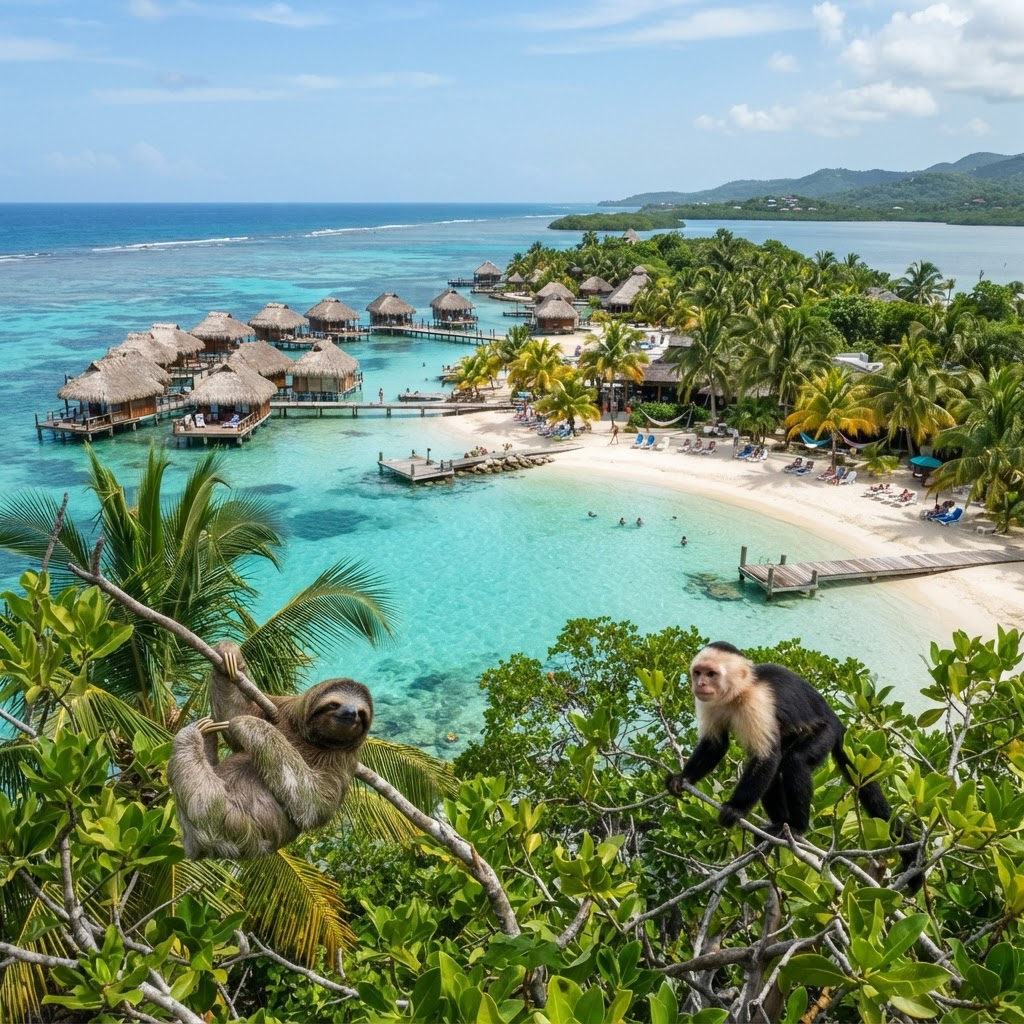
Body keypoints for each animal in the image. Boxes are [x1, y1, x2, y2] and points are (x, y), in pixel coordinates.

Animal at [168, 641, 373, 859]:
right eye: (334, 704)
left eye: (361, 713)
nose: (350, 713)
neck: (313, 740)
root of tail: (194, 848)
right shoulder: (284, 708)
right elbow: (234, 714)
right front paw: (229, 654)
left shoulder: (343, 763)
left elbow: (314, 804)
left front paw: (250, 724)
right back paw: (205, 730)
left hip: (226, 822)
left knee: (202, 795)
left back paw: (194, 734)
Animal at [665, 641, 922, 892]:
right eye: (698, 672)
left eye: (711, 674)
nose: (700, 683)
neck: (737, 693)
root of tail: (838, 723)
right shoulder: (710, 703)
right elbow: (715, 745)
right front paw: (682, 778)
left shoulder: (756, 703)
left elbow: (766, 757)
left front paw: (736, 809)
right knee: (776, 769)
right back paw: (780, 825)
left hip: (825, 732)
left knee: (792, 761)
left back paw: (796, 827)